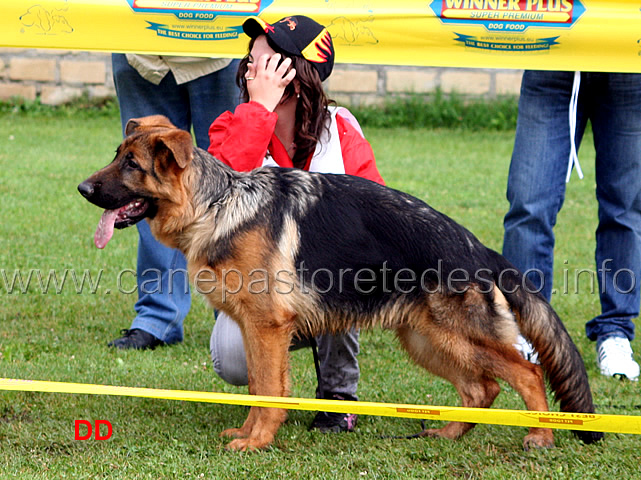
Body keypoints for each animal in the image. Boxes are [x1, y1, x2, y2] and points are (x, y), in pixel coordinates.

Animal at [77, 115, 604, 450]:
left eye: (132, 165)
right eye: (116, 157)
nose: (82, 188)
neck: (217, 205)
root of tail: (479, 248)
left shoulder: (266, 328)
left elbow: (269, 390)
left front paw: (257, 441)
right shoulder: (256, 330)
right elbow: (263, 387)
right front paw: (251, 434)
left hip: (461, 335)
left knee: (527, 372)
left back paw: (539, 435)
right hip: (428, 340)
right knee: (482, 391)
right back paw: (449, 434)